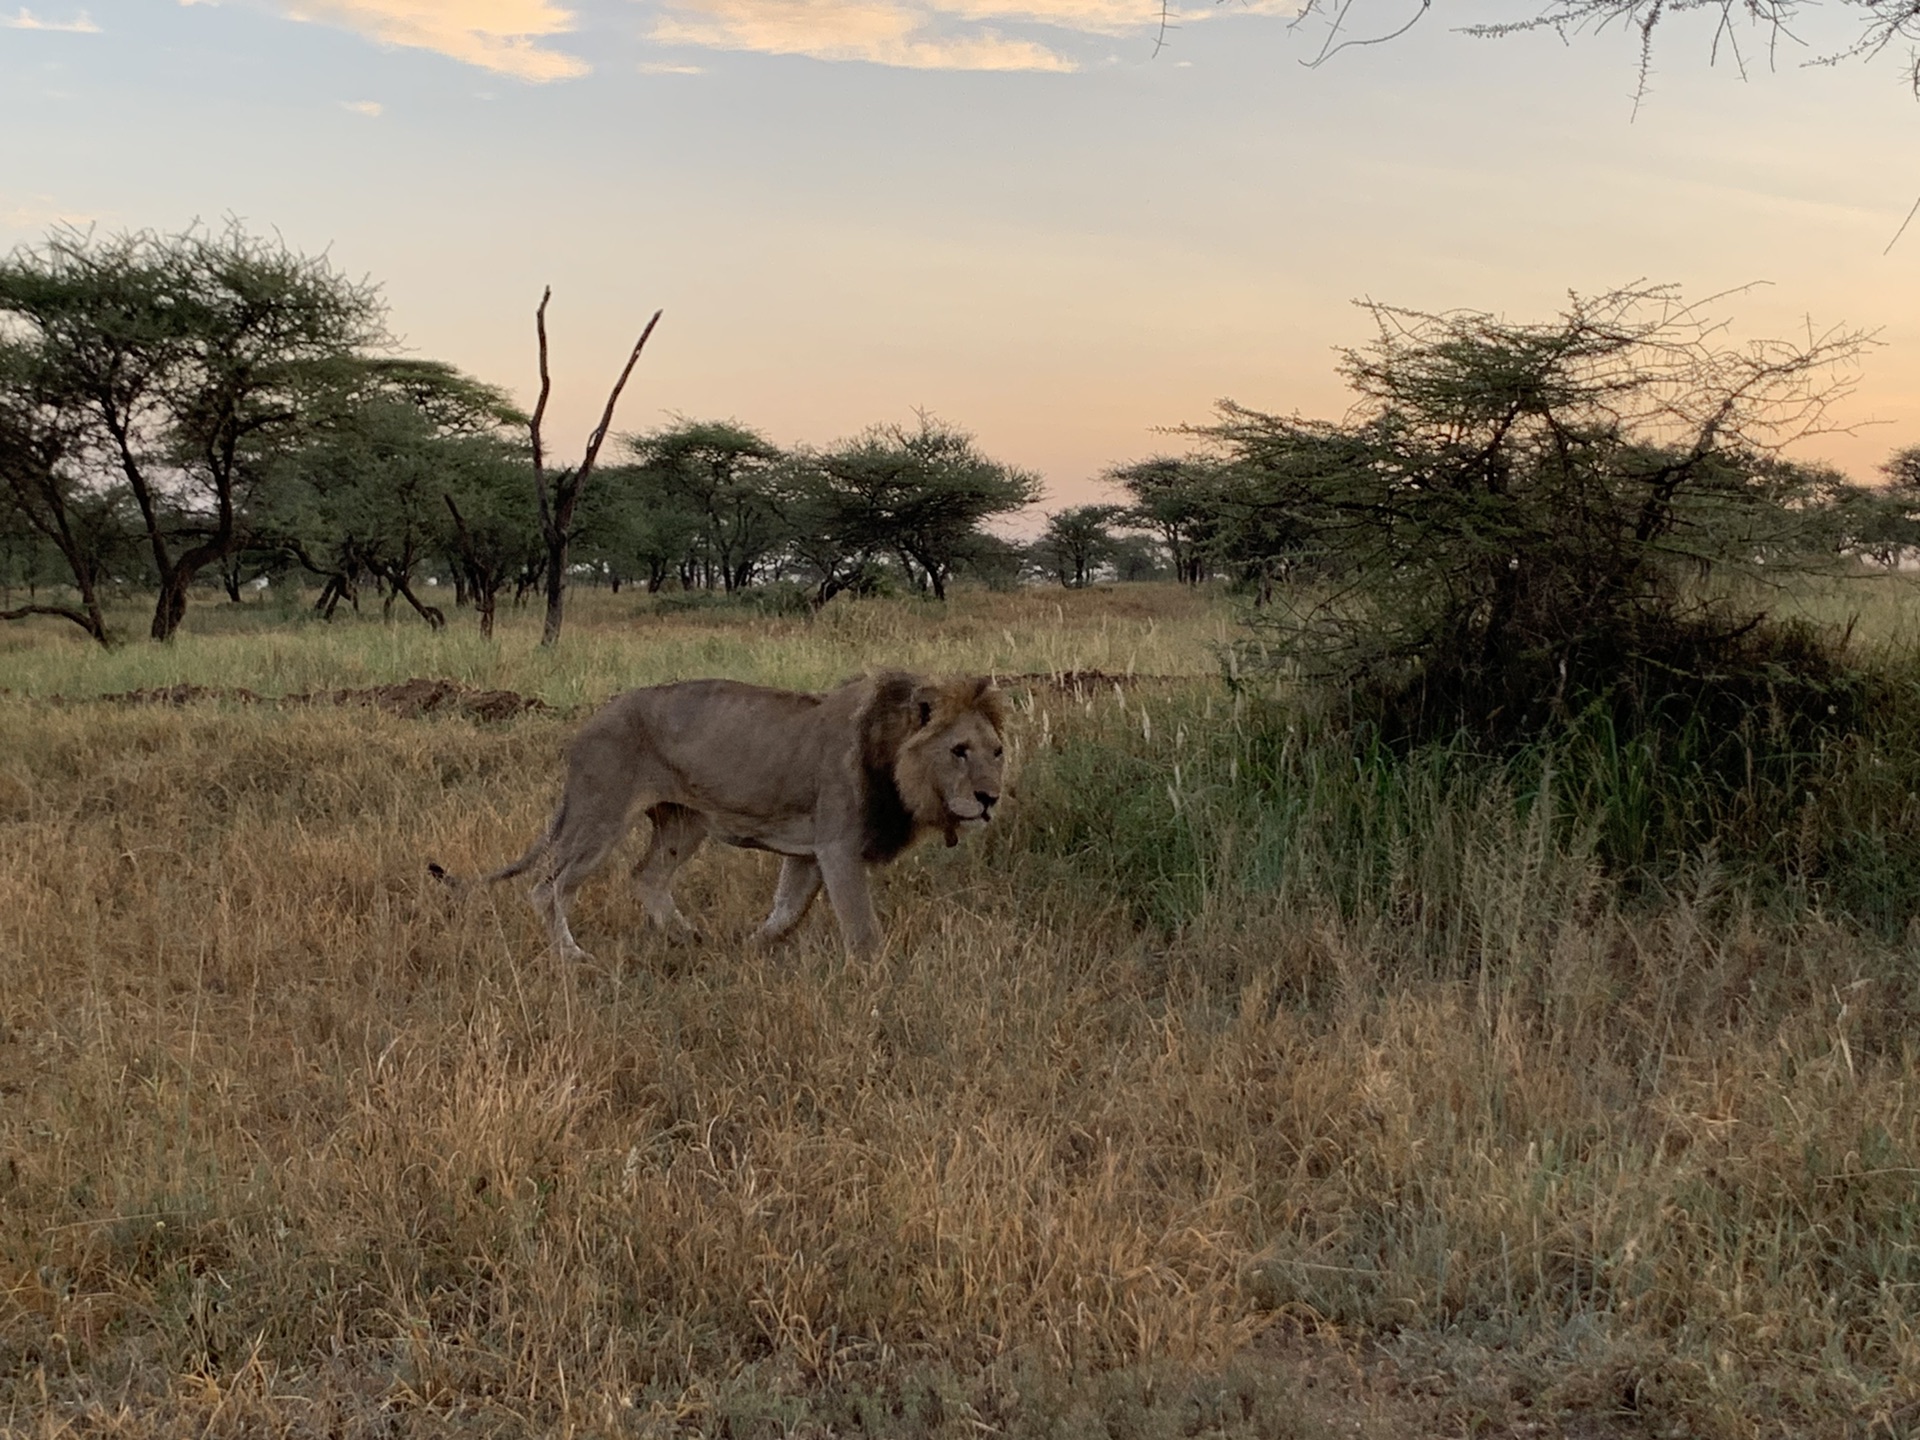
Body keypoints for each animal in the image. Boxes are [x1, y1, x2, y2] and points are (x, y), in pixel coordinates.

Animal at [432, 672, 1006, 963]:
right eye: (958, 751)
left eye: (997, 752)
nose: (989, 798)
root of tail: (592, 721)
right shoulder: (838, 844)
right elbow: (861, 927)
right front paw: (877, 976)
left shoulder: (810, 850)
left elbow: (786, 912)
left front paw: (750, 949)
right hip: (600, 816)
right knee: (548, 888)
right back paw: (573, 956)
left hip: (684, 823)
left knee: (646, 875)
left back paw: (686, 937)